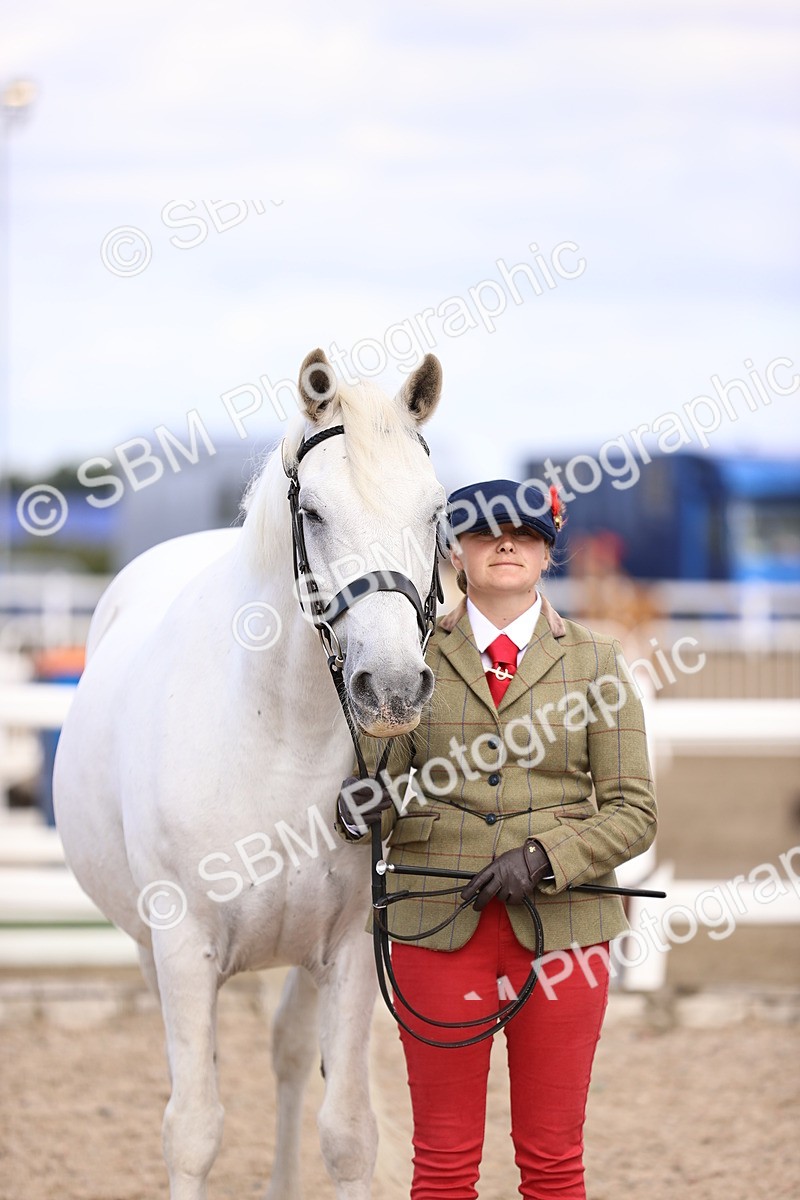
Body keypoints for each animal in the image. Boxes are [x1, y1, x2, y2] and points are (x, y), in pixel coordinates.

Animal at [53, 347, 445, 1200]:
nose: (394, 687)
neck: (277, 736)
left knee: (289, 1054)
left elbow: (347, 1134)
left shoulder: (349, 947)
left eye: (436, 511)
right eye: (316, 513)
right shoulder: (181, 946)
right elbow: (193, 1129)